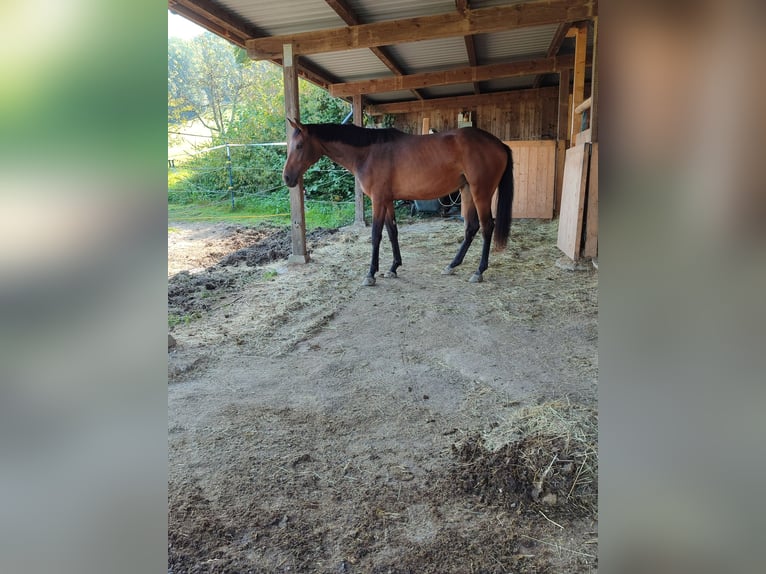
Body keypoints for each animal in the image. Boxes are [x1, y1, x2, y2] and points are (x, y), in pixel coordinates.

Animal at [284, 118, 516, 286]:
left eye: (300, 145)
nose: (287, 178)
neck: (369, 152)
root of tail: (499, 144)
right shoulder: (387, 200)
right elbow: (392, 231)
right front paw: (393, 268)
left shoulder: (378, 200)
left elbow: (376, 235)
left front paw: (371, 274)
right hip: (467, 191)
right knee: (471, 227)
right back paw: (452, 265)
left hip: (481, 192)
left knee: (487, 227)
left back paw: (479, 271)